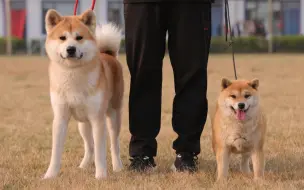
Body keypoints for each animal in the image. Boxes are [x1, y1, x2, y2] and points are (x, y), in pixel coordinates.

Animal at [42, 8, 124, 179]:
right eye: (62, 38)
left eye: (79, 37)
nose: (71, 49)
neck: (73, 73)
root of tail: (108, 54)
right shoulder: (60, 117)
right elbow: (56, 152)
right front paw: (50, 175)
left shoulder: (97, 119)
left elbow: (100, 152)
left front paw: (101, 176)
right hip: (83, 124)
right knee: (89, 146)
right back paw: (84, 166)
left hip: (113, 116)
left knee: (114, 145)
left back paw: (118, 167)